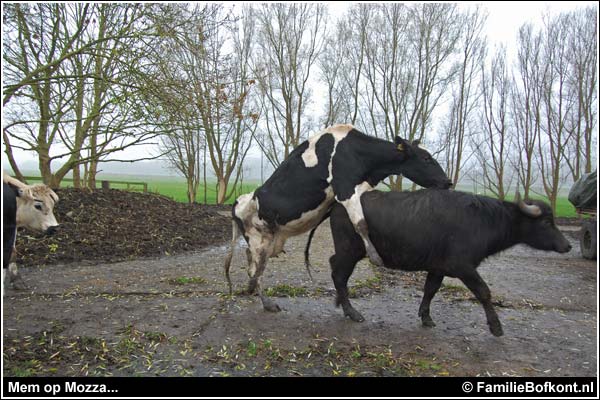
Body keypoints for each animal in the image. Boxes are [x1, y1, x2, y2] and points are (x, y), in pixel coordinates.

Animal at [225, 123, 450, 310]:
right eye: (426, 158)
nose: (448, 181)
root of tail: (239, 201)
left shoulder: (359, 186)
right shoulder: (345, 188)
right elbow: (361, 223)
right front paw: (375, 255)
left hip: (270, 240)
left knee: (250, 261)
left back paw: (251, 290)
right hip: (260, 240)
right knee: (256, 269)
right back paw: (266, 302)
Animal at [326, 189, 568, 336]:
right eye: (547, 222)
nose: (567, 245)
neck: (484, 221)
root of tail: (339, 204)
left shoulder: (438, 267)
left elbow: (430, 290)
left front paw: (426, 317)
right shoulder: (463, 267)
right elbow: (484, 291)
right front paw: (496, 326)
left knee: (335, 268)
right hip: (349, 251)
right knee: (338, 274)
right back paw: (351, 312)